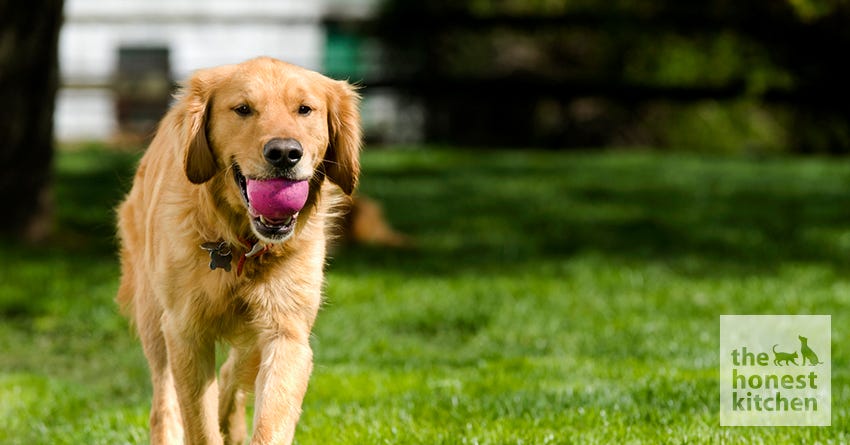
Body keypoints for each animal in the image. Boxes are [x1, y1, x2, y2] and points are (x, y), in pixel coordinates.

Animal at [115, 56, 358, 444]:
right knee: (165, 405)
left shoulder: (286, 331)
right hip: (154, 317)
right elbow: (199, 424)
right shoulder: (184, 331)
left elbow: (270, 418)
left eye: (305, 109)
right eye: (243, 109)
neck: (242, 243)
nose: (285, 153)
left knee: (233, 375)